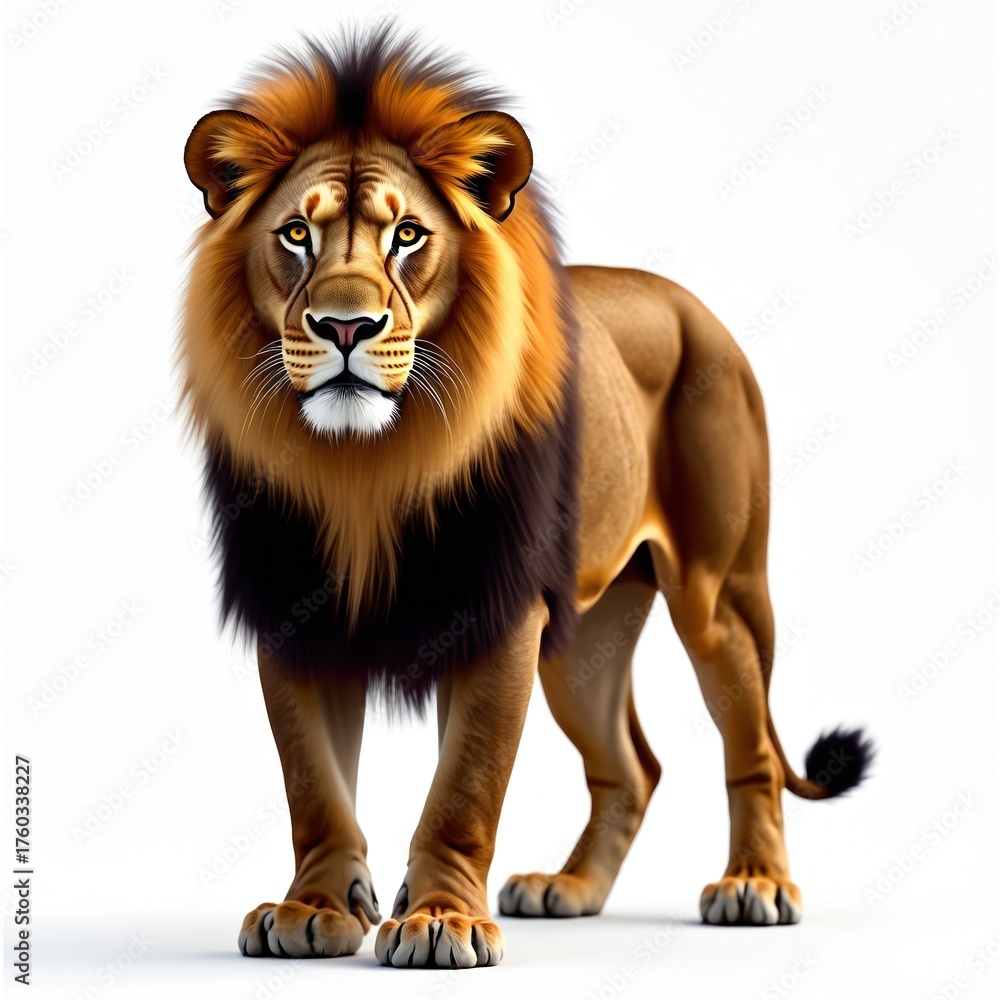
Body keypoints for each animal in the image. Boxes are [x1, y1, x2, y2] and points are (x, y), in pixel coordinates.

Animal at [180, 30, 871, 968]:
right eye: (295, 234)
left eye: (408, 235)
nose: (346, 327)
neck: (365, 467)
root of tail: (691, 303)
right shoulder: (291, 603)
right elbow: (313, 781)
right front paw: (313, 908)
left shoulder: (496, 613)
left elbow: (464, 786)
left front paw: (439, 920)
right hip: (587, 641)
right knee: (633, 765)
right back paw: (568, 889)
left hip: (719, 595)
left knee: (753, 743)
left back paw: (756, 885)